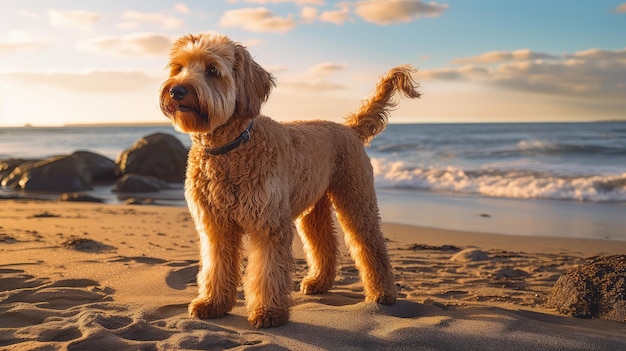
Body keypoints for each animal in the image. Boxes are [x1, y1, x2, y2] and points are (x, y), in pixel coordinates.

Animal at [158, 33, 420, 330]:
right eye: (178, 68)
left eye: (213, 70)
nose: (177, 91)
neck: (230, 147)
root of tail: (348, 128)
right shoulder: (216, 226)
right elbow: (216, 266)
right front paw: (213, 304)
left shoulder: (269, 224)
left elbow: (268, 271)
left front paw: (268, 312)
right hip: (314, 207)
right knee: (323, 242)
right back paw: (319, 282)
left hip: (356, 198)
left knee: (371, 245)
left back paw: (383, 293)